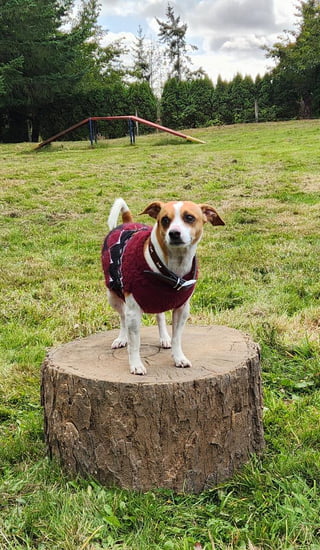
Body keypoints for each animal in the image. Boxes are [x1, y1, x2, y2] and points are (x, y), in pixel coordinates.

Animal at [101, 197, 224, 376]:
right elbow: (135, 342)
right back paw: (122, 338)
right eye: (165, 220)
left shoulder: (182, 309)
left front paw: (178, 357)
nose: (174, 233)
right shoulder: (133, 313)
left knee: (160, 316)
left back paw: (164, 338)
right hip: (113, 295)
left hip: (158, 299)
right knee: (122, 317)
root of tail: (128, 222)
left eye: (189, 218)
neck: (171, 269)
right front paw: (135, 364)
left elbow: (177, 337)